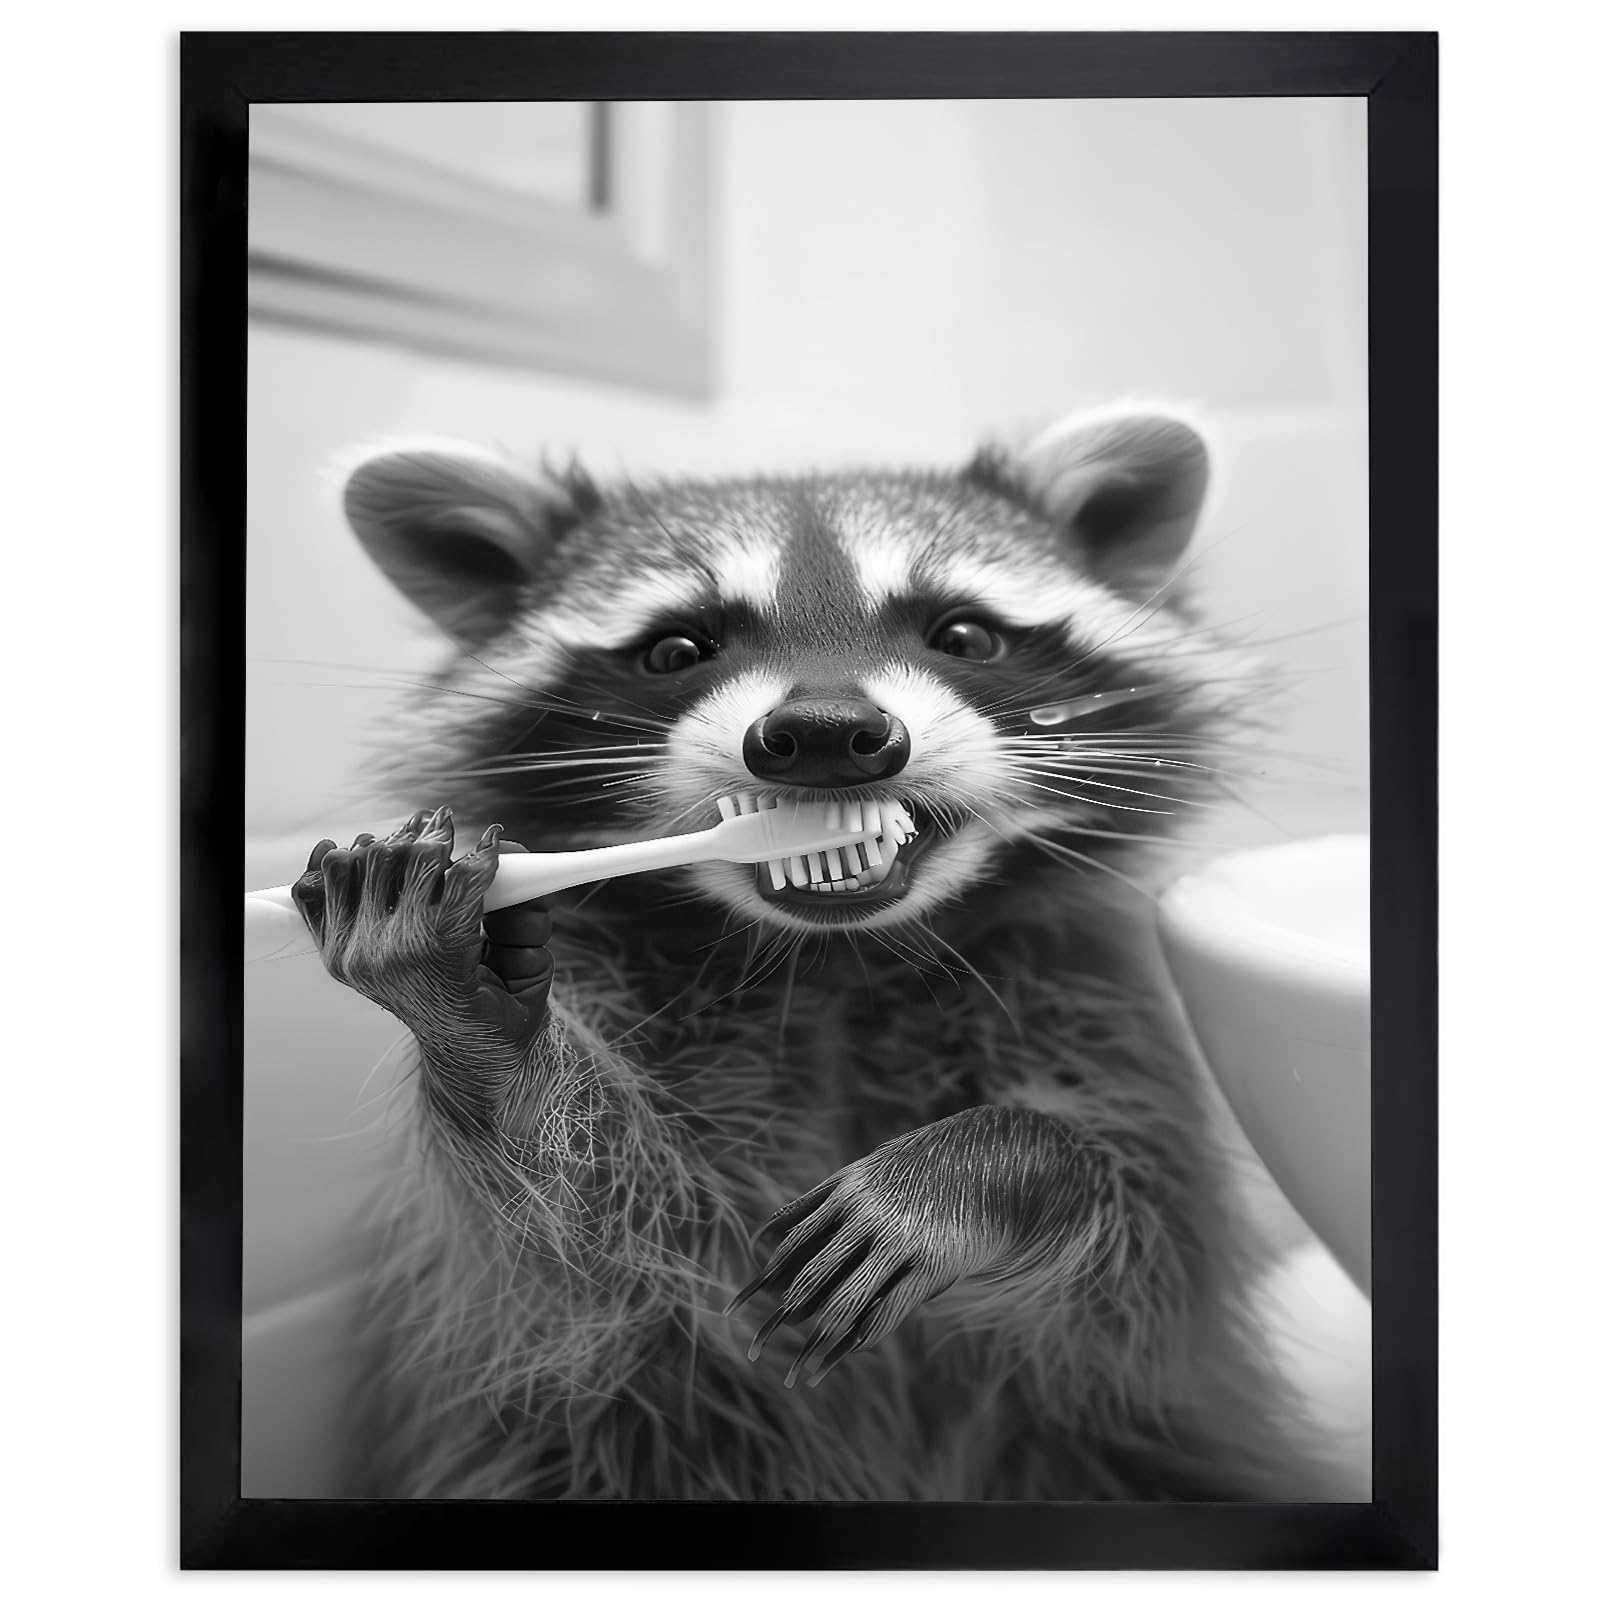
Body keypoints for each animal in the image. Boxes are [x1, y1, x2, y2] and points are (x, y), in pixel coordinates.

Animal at [289, 409, 1340, 1501]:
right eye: (675, 648)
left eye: (962, 633)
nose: (828, 730)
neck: (833, 959)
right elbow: (585, 1255)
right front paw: (482, 1037)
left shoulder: (1095, 1007)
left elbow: (1134, 1276)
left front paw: (992, 1164)